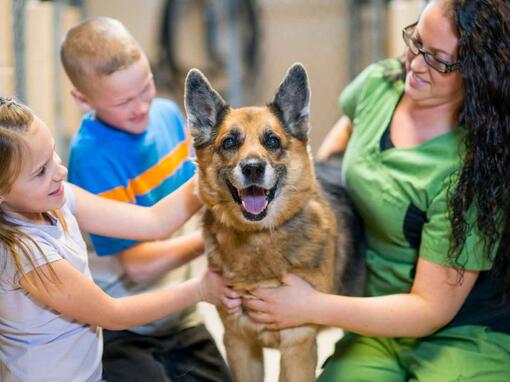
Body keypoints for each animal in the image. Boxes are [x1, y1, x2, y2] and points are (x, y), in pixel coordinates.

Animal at [185, 64, 364, 380]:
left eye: (272, 141)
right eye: (229, 142)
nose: (253, 168)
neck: (258, 238)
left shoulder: (297, 346)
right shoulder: (239, 345)